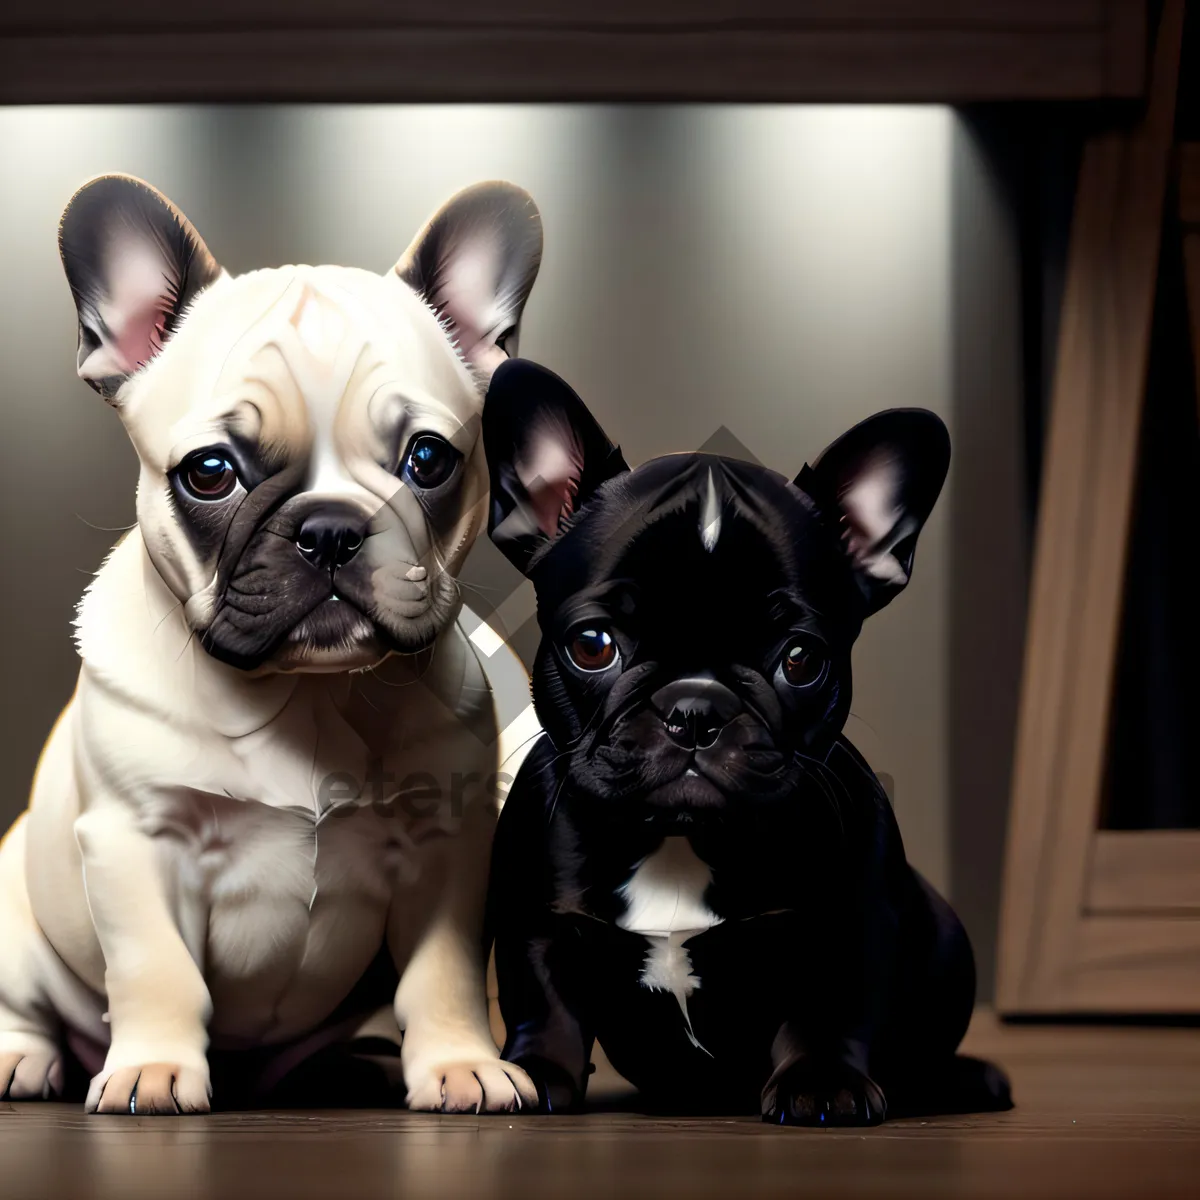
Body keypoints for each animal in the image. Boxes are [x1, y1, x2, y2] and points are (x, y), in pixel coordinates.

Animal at [0, 174, 544, 1108]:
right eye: (210, 472)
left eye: (428, 459)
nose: (329, 530)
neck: (310, 692)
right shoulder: (137, 842)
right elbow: (155, 969)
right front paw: (153, 1068)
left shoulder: (446, 848)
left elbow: (442, 972)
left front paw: (459, 1063)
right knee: (28, 1001)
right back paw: (24, 1057)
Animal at [482, 357, 1008, 1123]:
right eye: (592, 644)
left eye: (801, 658)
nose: (695, 707)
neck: (677, 838)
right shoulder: (536, 920)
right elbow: (544, 1003)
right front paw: (530, 1072)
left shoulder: (848, 921)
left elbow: (828, 1006)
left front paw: (823, 1082)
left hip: (946, 942)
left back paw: (964, 1079)